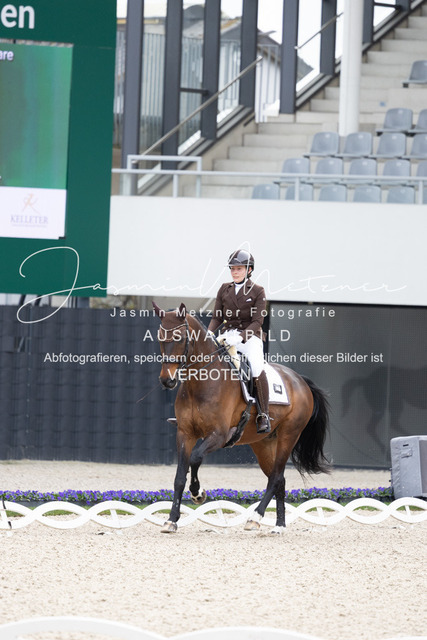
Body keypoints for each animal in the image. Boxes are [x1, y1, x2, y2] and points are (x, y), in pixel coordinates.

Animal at [153, 302, 330, 534]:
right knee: (279, 478)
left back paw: (255, 518)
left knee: (275, 477)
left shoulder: (219, 435)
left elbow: (196, 458)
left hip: (289, 435)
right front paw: (171, 520)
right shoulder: (185, 434)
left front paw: (198, 493)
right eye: (159, 337)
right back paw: (279, 525)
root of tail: (299, 380)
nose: (167, 380)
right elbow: (179, 477)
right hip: (263, 443)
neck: (200, 384)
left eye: (180, 337)